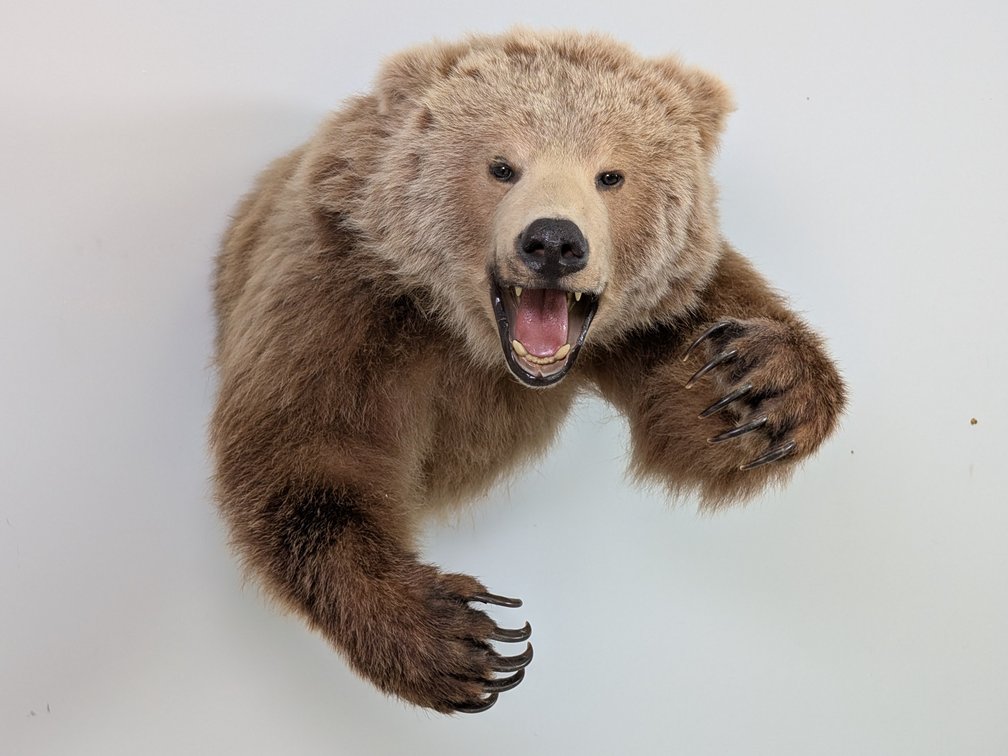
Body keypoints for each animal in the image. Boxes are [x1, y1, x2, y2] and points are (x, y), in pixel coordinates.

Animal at [210, 28, 846, 714]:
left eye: (611, 174)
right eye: (501, 165)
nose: (554, 243)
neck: (475, 346)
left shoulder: (665, 313)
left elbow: (688, 413)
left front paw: (757, 386)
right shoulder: (338, 300)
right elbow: (307, 462)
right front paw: (462, 639)